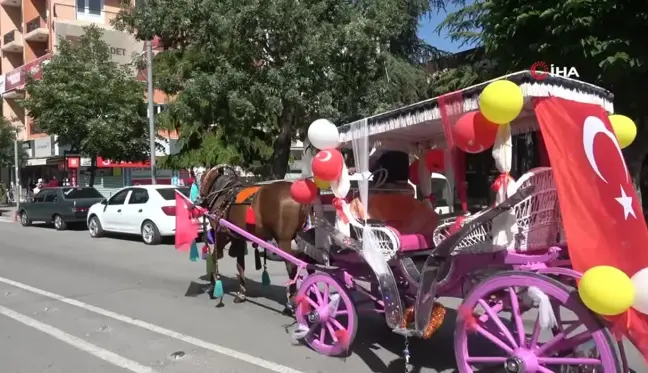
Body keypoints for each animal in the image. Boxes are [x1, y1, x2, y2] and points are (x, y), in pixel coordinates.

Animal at [196, 164, 310, 312]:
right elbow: (240, 265)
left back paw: (291, 302)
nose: (200, 200)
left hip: (284, 240)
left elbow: (215, 256)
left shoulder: (222, 234)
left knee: (292, 267)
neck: (224, 194)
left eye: (200, 179)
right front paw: (241, 293)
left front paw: (214, 282)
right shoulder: (238, 237)